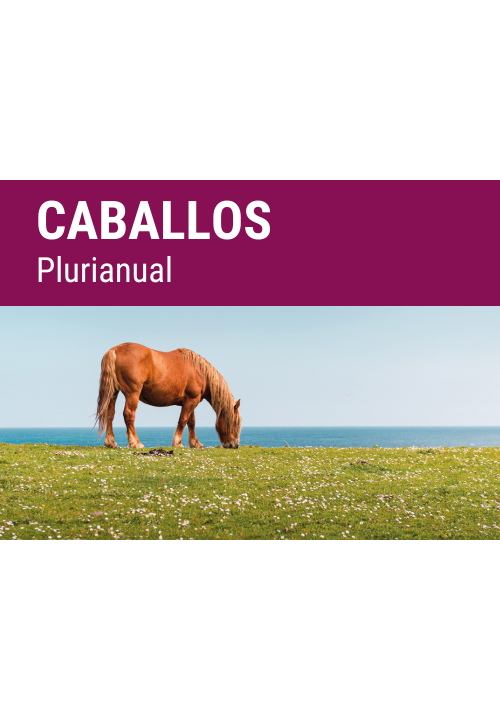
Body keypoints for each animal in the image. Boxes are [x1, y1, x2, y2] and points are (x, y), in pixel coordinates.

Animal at [95, 343, 241, 449]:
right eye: (236, 422)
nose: (235, 445)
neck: (200, 372)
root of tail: (115, 350)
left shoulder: (190, 401)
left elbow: (191, 422)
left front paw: (195, 443)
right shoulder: (191, 400)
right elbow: (183, 420)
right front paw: (178, 443)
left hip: (113, 392)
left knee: (110, 414)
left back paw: (111, 442)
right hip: (132, 394)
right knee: (129, 415)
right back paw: (136, 443)